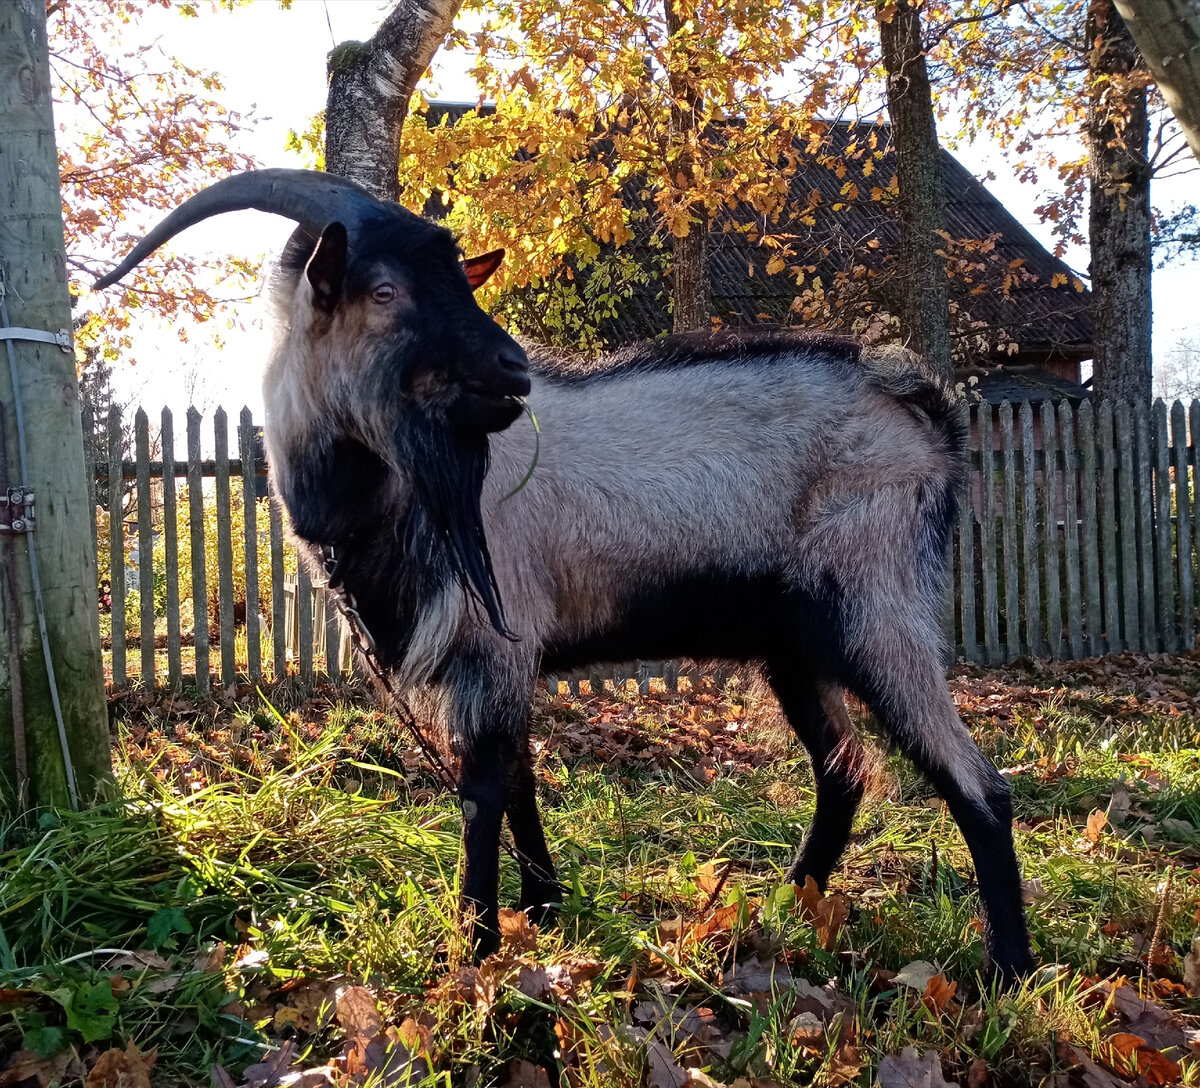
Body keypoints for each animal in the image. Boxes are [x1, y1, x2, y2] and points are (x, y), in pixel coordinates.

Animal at [98, 165, 1036, 983]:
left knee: (977, 784)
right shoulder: (496, 659)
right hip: (794, 645)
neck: (379, 496)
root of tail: (916, 402)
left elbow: (482, 792)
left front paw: (476, 949)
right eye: (384, 290)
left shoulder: (491, 642)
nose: (513, 370)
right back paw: (786, 903)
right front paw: (543, 911)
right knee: (842, 770)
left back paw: (1008, 972)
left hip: (875, 610)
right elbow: (520, 779)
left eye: (460, 280)